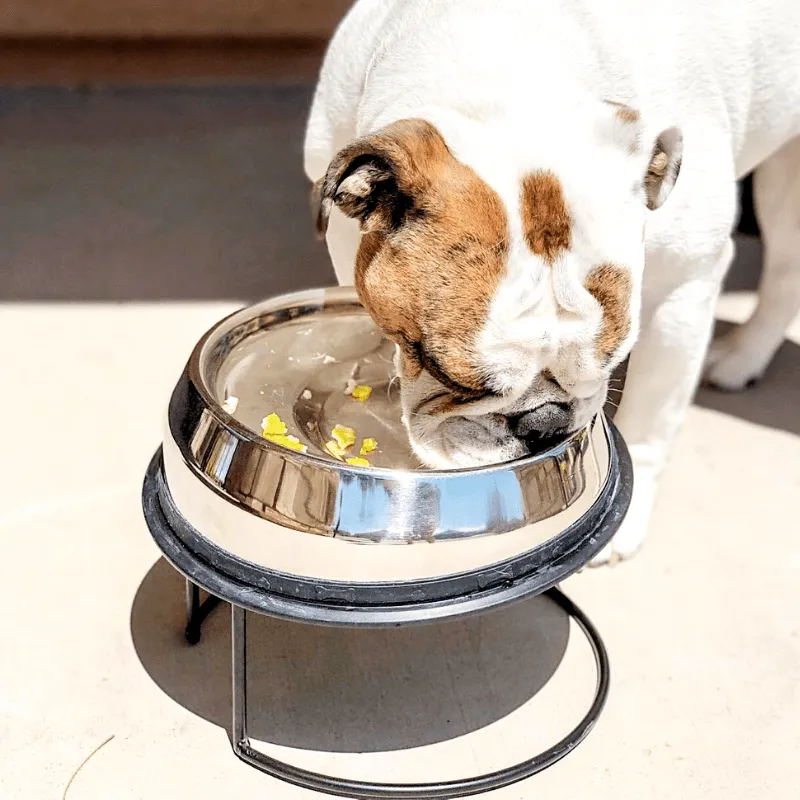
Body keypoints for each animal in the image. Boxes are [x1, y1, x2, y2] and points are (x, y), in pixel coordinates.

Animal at [304, 0, 800, 564]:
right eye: (453, 378)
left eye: (611, 360)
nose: (542, 424)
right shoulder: (344, 232)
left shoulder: (684, 289)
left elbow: (652, 415)